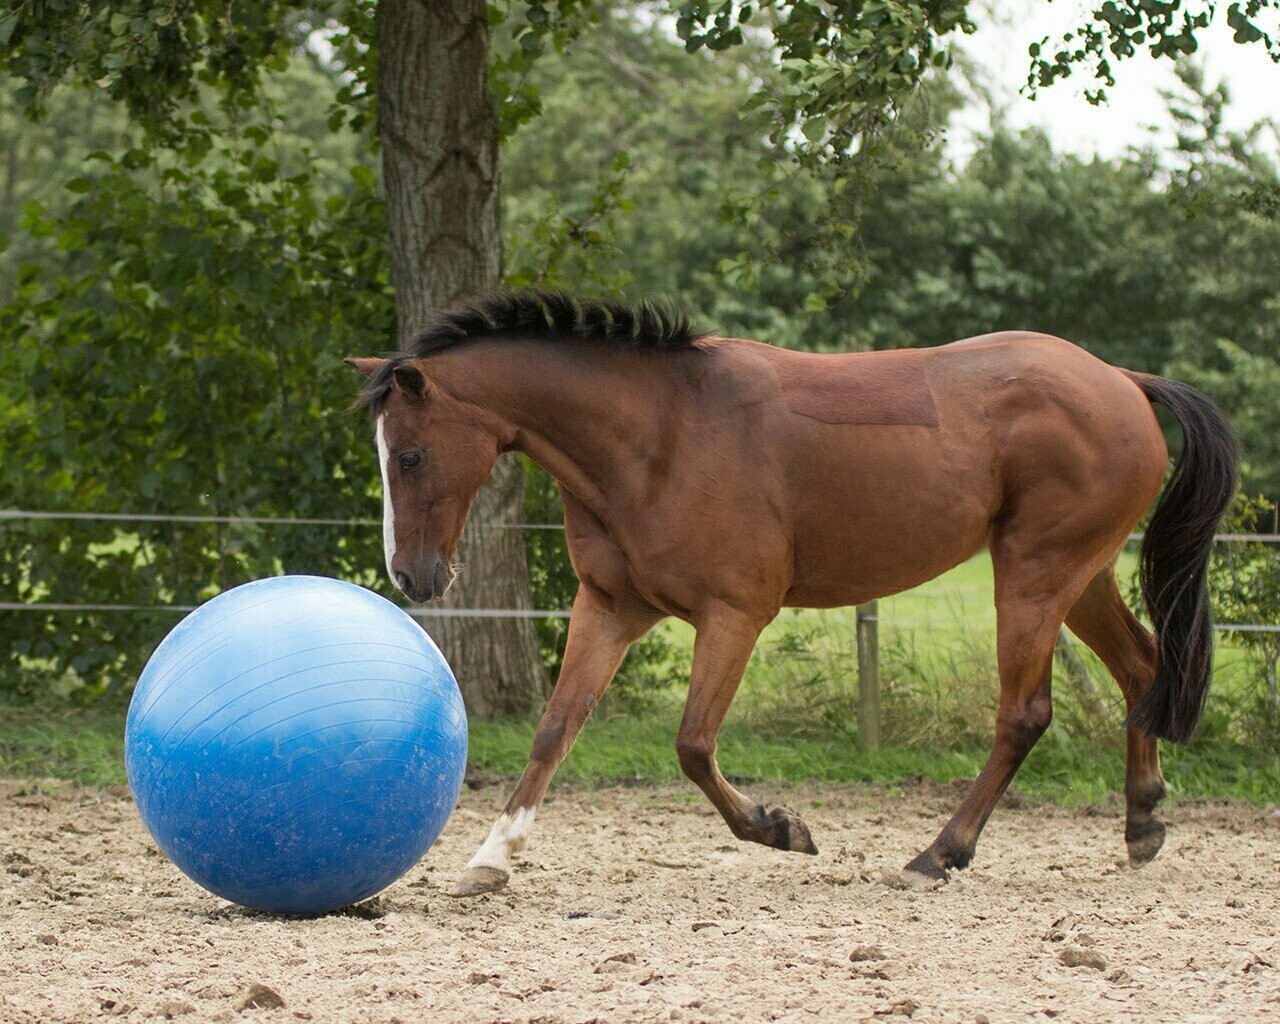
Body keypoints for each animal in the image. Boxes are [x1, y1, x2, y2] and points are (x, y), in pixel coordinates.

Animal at [347, 290, 1237, 897]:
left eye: (412, 456)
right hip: (1077, 575)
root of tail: (1123, 381)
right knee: (1141, 668)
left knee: (1025, 714)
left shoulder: (734, 615)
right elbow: (554, 731)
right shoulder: (608, 608)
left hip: (1032, 574)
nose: (412, 577)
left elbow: (693, 745)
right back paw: (1142, 823)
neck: (658, 436)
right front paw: (490, 858)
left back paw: (936, 855)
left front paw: (781, 829)